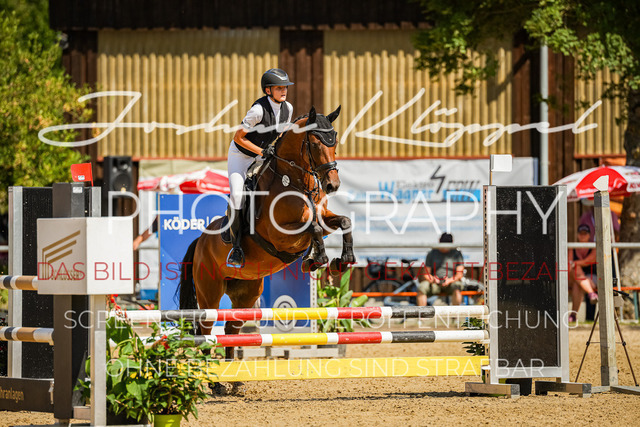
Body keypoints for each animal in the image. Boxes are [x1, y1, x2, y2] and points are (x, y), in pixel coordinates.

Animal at [178, 105, 355, 361]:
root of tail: (200, 241)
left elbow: (343, 221)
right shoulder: (281, 236)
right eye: (314, 143)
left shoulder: (322, 218)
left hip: (247, 293)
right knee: (205, 329)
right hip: (209, 291)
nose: (332, 185)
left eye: (335, 141)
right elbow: (313, 228)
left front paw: (342, 260)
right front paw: (318, 259)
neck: (295, 181)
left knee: (232, 328)